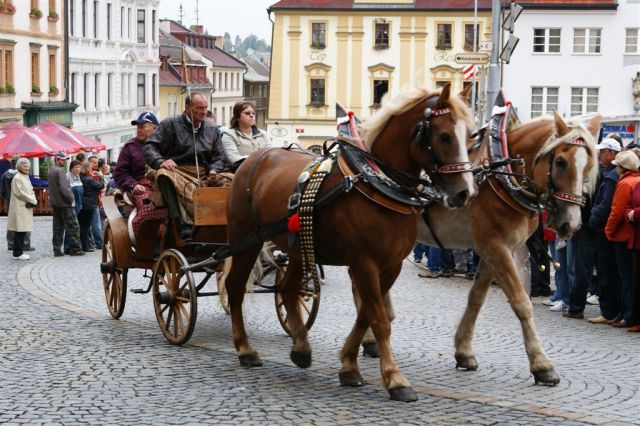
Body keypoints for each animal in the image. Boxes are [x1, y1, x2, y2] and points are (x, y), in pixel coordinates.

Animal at [226, 85, 480, 402]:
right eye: (444, 136)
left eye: (470, 135)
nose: (465, 193)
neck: (375, 183)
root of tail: (256, 157)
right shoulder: (364, 263)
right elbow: (379, 320)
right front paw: (395, 379)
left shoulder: (391, 266)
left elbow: (366, 315)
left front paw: (348, 365)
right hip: (245, 240)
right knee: (235, 288)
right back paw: (245, 349)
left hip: (299, 247)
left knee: (287, 290)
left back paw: (301, 348)